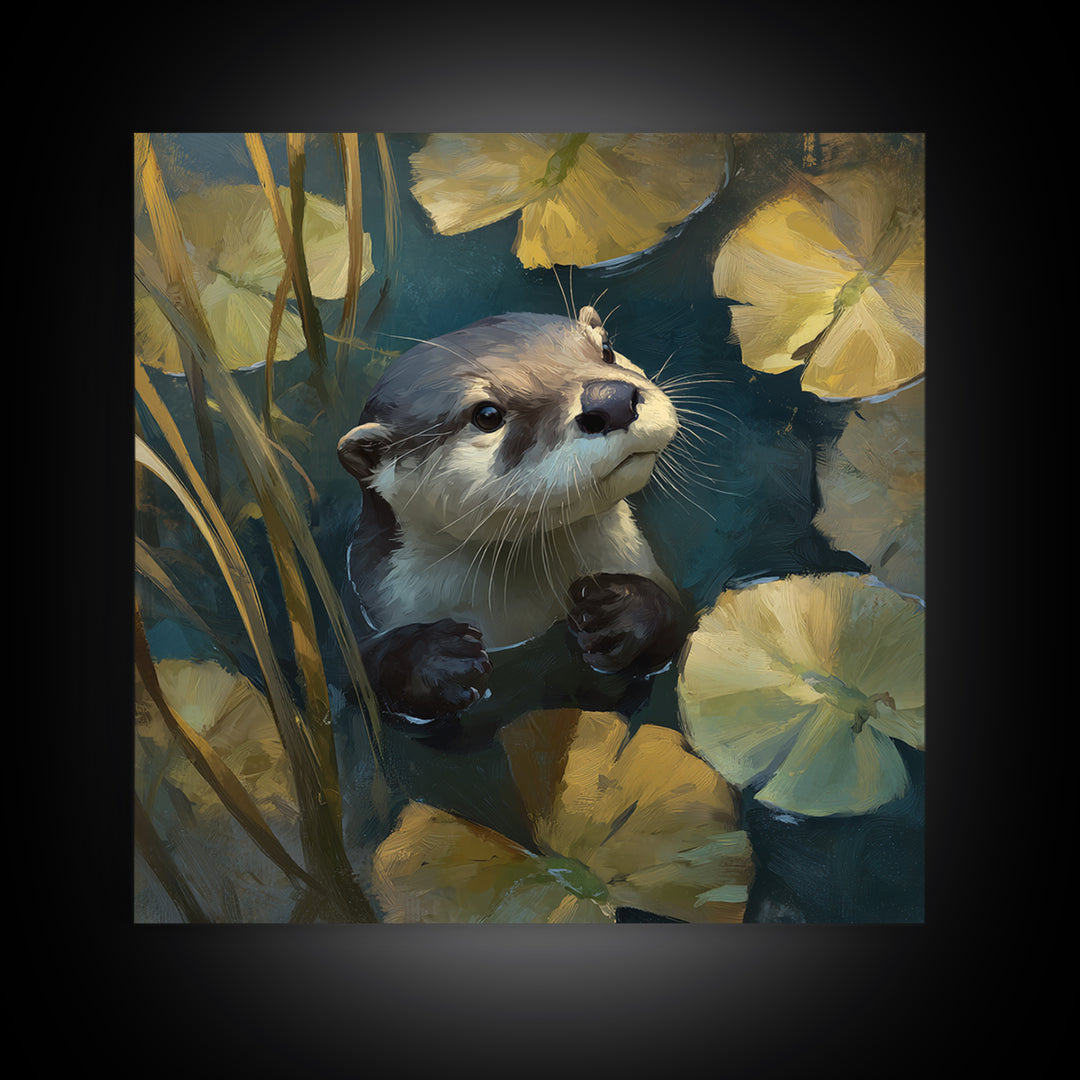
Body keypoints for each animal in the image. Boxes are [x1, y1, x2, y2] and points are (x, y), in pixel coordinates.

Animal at [337, 306, 690, 736]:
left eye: (606, 350)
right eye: (487, 415)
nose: (613, 400)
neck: (523, 616)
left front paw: (624, 612)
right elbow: (360, 678)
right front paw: (435, 659)